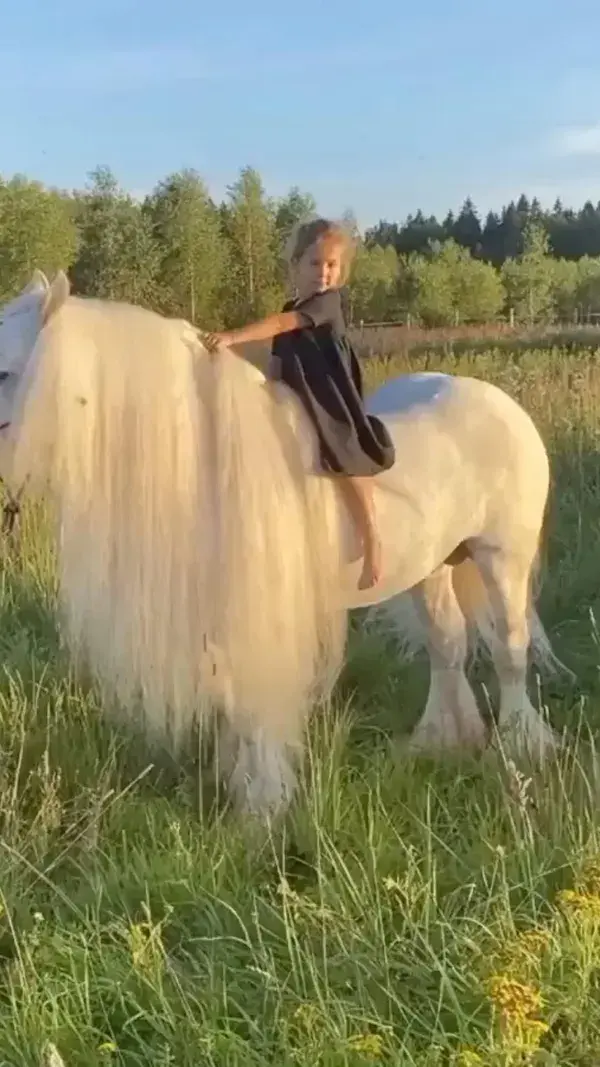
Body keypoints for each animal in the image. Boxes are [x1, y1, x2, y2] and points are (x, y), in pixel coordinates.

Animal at [0, 273, 563, 815]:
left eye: (6, 372)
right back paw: (439, 741)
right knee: (447, 644)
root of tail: (496, 401)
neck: (206, 469)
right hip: (433, 566)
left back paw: (523, 747)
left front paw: (264, 806)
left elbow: (253, 705)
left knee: (509, 648)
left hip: (503, 557)